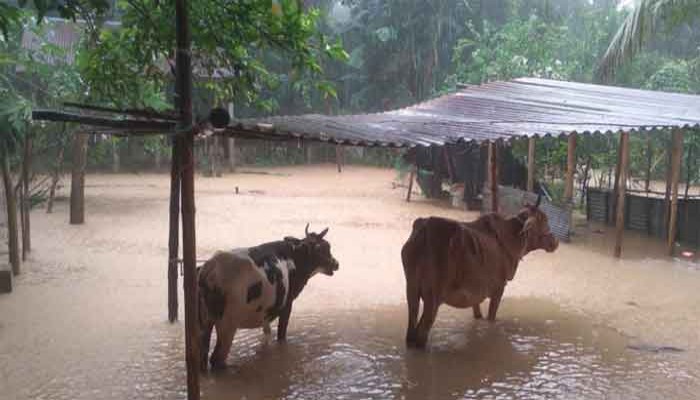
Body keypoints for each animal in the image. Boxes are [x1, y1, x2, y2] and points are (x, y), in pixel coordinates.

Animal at [197, 223, 340, 370]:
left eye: (328, 245)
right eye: (320, 249)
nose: (336, 263)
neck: (293, 258)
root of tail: (210, 267)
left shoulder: (266, 312)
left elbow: (267, 332)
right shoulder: (287, 304)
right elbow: (281, 334)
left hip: (204, 324)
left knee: (203, 353)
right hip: (227, 324)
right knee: (216, 359)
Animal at [404, 200, 556, 346]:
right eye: (543, 220)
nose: (555, 241)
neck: (514, 237)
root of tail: (424, 231)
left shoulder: (475, 292)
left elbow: (477, 313)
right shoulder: (499, 288)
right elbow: (491, 317)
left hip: (412, 289)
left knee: (411, 329)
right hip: (434, 297)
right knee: (421, 333)